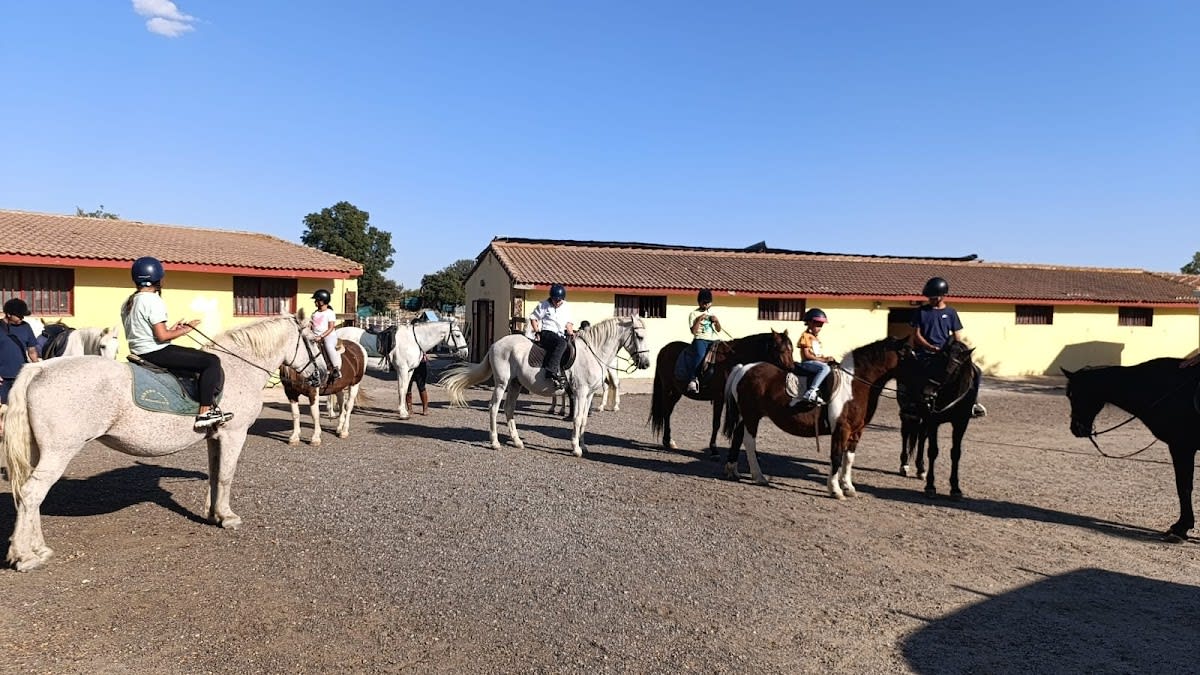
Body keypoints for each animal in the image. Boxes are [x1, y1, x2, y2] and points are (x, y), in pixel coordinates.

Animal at [3, 313, 322, 571]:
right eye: (312, 341)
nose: (322, 375)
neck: (238, 367)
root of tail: (40, 369)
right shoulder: (234, 433)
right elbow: (227, 476)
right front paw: (227, 517)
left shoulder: (215, 436)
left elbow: (215, 474)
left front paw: (212, 514)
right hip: (58, 452)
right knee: (31, 494)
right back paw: (25, 557)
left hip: (39, 452)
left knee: (29, 496)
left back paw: (38, 549)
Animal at [442, 316, 651, 457]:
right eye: (639, 336)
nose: (646, 364)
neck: (593, 353)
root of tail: (496, 344)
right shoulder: (580, 392)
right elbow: (576, 419)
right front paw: (575, 448)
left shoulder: (589, 394)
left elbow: (584, 420)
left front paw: (583, 446)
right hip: (502, 383)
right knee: (493, 408)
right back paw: (495, 443)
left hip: (515, 384)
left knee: (509, 410)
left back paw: (517, 441)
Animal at [649, 331, 796, 453]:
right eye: (780, 349)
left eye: (792, 349)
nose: (791, 369)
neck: (732, 360)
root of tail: (664, 349)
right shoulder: (719, 398)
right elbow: (716, 423)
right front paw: (714, 449)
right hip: (668, 389)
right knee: (666, 412)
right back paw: (667, 441)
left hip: (676, 391)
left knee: (668, 411)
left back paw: (668, 440)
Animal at [721, 336, 910, 499]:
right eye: (909, 353)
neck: (853, 385)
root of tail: (744, 368)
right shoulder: (841, 429)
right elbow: (836, 457)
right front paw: (835, 490)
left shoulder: (856, 431)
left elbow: (848, 459)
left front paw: (848, 487)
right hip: (751, 416)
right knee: (749, 442)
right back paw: (759, 476)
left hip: (746, 416)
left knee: (738, 438)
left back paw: (732, 471)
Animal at [896, 338, 980, 498]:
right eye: (938, 361)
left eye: (953, 368)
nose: (927, 393)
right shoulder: (933, 420)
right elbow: (933, 451)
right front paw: (930, 486)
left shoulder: (961, 423)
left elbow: (956, 453)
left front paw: (955, 488)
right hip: (908, 414)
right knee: (905, 434)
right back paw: (904, 465)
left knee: (921, 437)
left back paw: (921, 469)